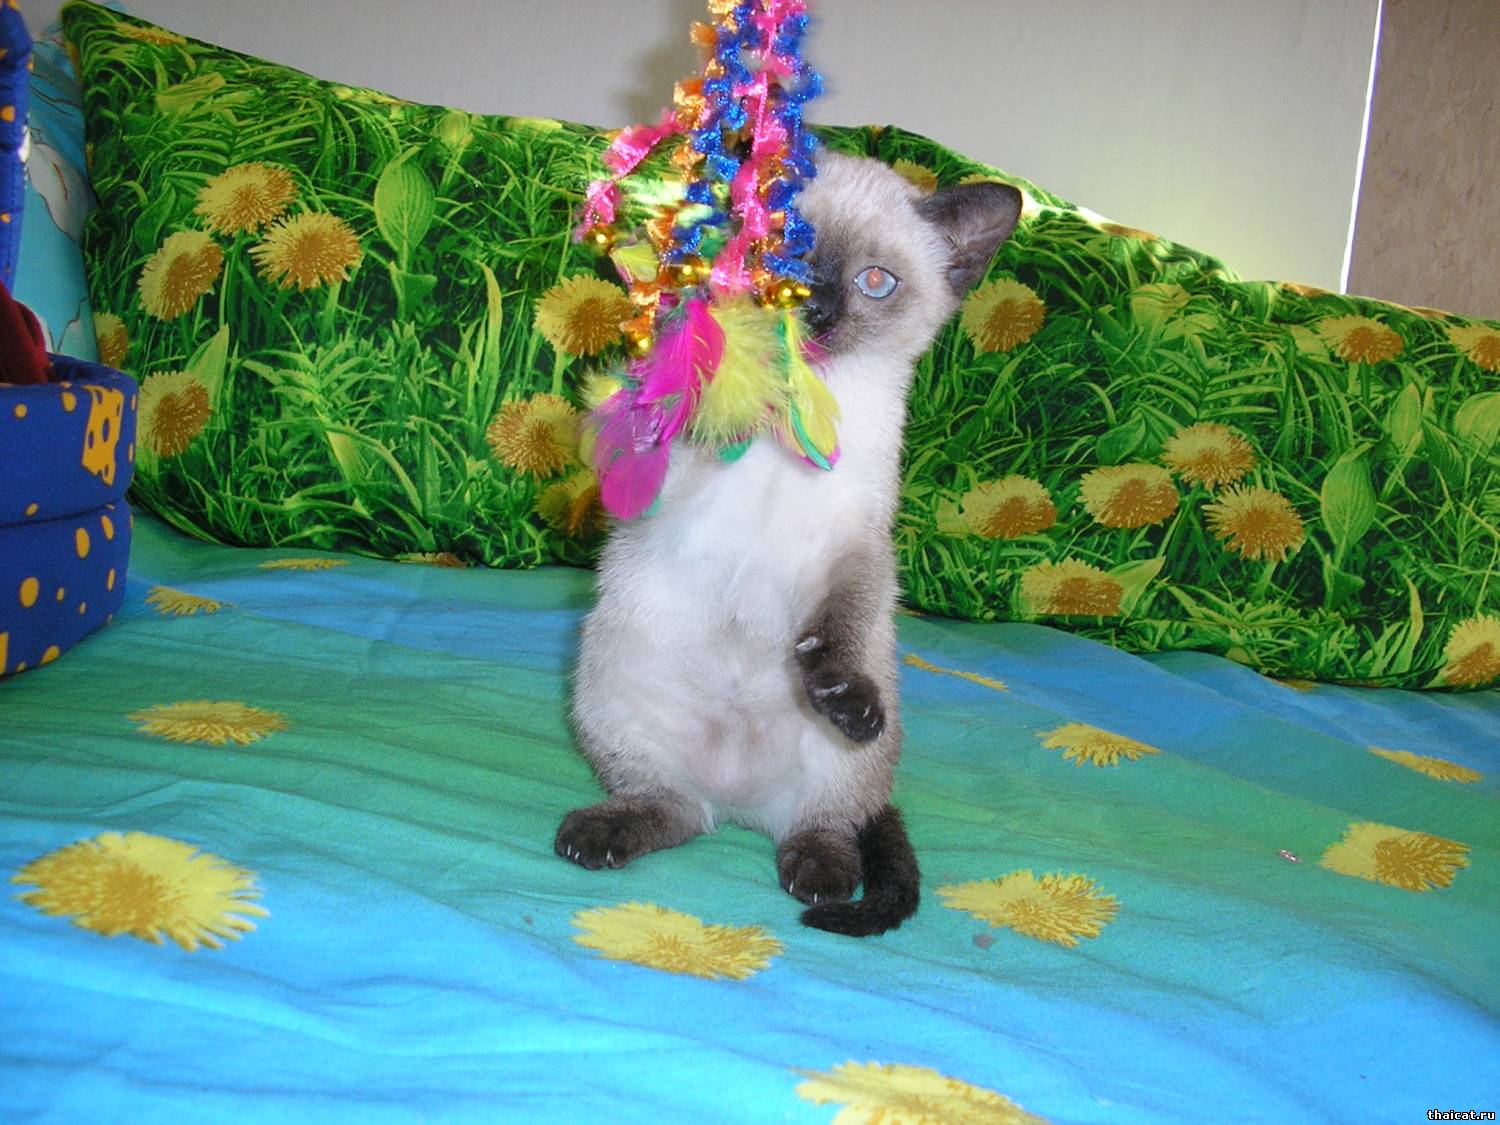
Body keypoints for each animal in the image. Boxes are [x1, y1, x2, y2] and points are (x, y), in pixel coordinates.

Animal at [557, 150, 1022, 936]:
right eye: (786, 255)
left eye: (874, 281)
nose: (817, 311)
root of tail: (740, 804)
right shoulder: (662, 486)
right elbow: (700, 425)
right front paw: (740, 382)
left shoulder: (857, 544)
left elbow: (843, 615)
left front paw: (838, 689)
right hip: (607, 693)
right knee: (673, 807)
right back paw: (603, 834)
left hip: (844, 763)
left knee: (827, 824)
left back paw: (821, 877)